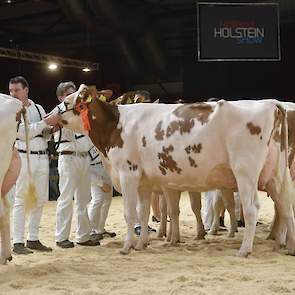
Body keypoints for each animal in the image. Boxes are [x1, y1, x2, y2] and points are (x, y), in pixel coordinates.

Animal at [54, 85, 295, 256]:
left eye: (66, 101)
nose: (50, 116)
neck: (116, 125)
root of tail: (271, 103)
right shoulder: (144, 182)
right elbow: (144, 213)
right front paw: (142, 244)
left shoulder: (128, 173)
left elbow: (130, 213)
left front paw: (126, 247)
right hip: (276, 173)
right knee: (285, 205)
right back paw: (289, 246)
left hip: (245, 171)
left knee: (253, 208)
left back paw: (245, 250)